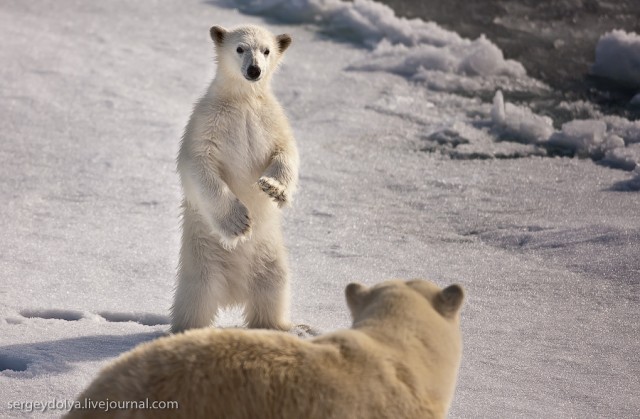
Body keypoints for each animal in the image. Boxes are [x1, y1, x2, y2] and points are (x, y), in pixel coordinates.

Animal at [171, 25, 298, 334]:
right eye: (240, 48)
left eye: (266, 50)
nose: (254, 70)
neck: (243, 100)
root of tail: (233, 294)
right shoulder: (207, 121)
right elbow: (199, 165)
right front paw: (239, 223)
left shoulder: (270, 119)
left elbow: (286, 152)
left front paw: (274, 190)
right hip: (201, 260)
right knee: (196, 300)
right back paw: (188, 330)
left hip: (270, 258)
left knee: (273, 290)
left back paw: (277, 327)